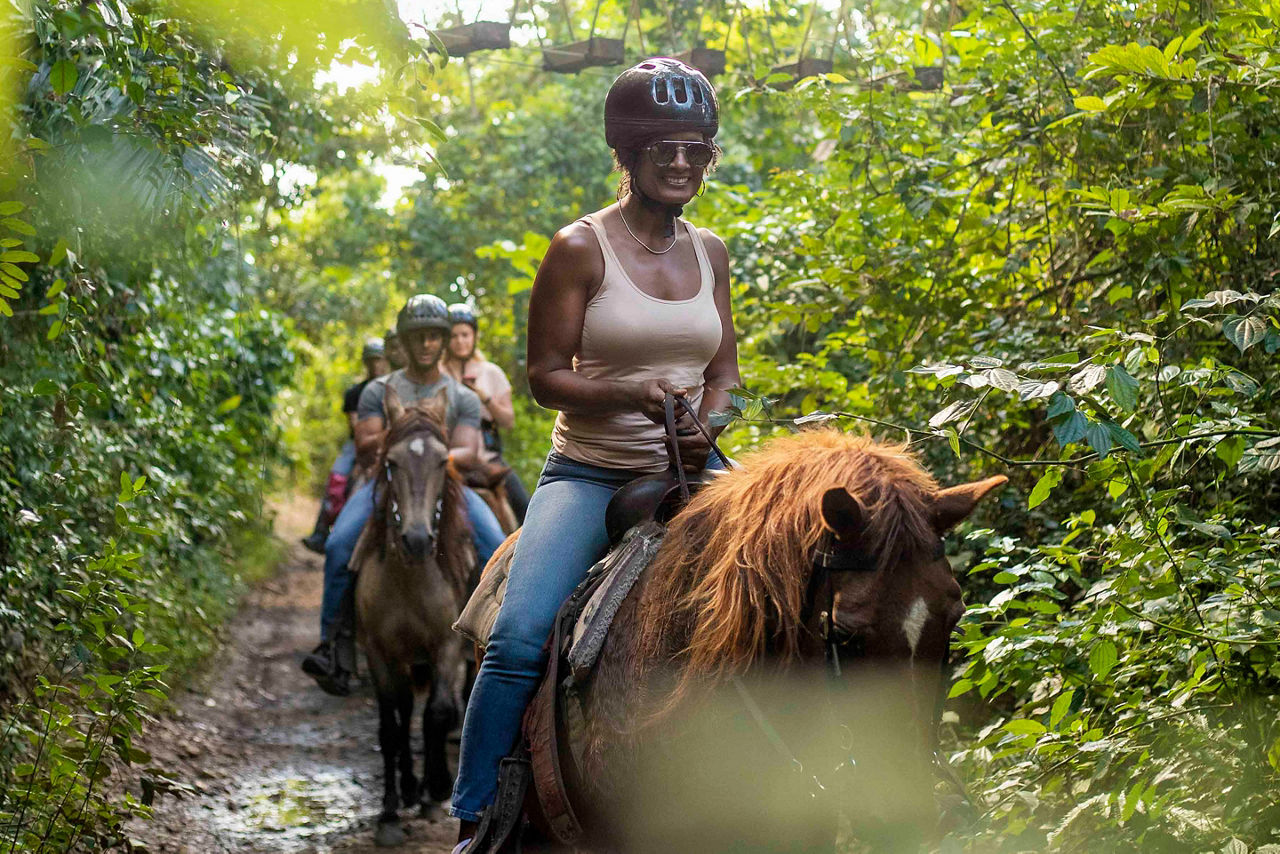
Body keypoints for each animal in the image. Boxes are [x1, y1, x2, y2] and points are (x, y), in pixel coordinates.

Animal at [355, 389, 476, 850]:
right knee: (403, 709)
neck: (409, 580)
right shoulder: (377, 650)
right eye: (391, 462)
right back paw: (405, 787)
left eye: (443, 462)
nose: (418, 539)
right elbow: (391, 727)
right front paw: (389, 812)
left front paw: (435, 790)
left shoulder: (447, 646)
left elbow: (438, 713)